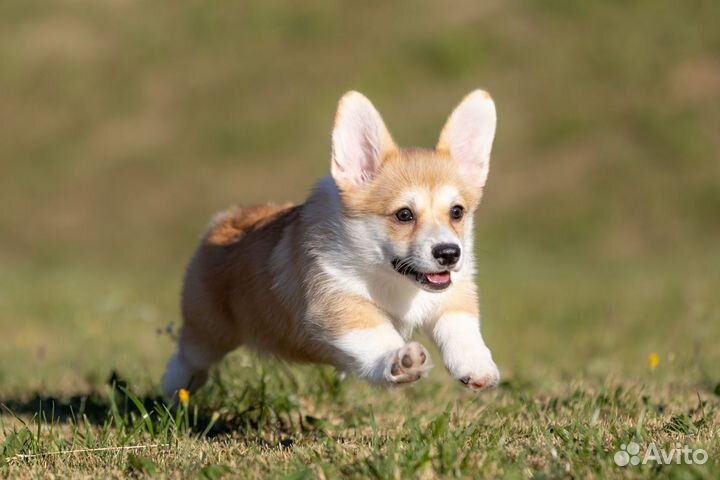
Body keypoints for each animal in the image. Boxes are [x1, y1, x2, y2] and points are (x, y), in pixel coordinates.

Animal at [163, 88, 500, 400]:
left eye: (457, 212)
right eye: (404, 214)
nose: (449, 253)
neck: (393, 280)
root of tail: (227, 218)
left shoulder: (453, 294)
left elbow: (461, 328)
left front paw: (478, 368)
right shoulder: (337, 303)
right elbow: (377, 333)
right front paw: (402, 360)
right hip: (209, 329)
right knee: (187, 357)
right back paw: (173, 393)